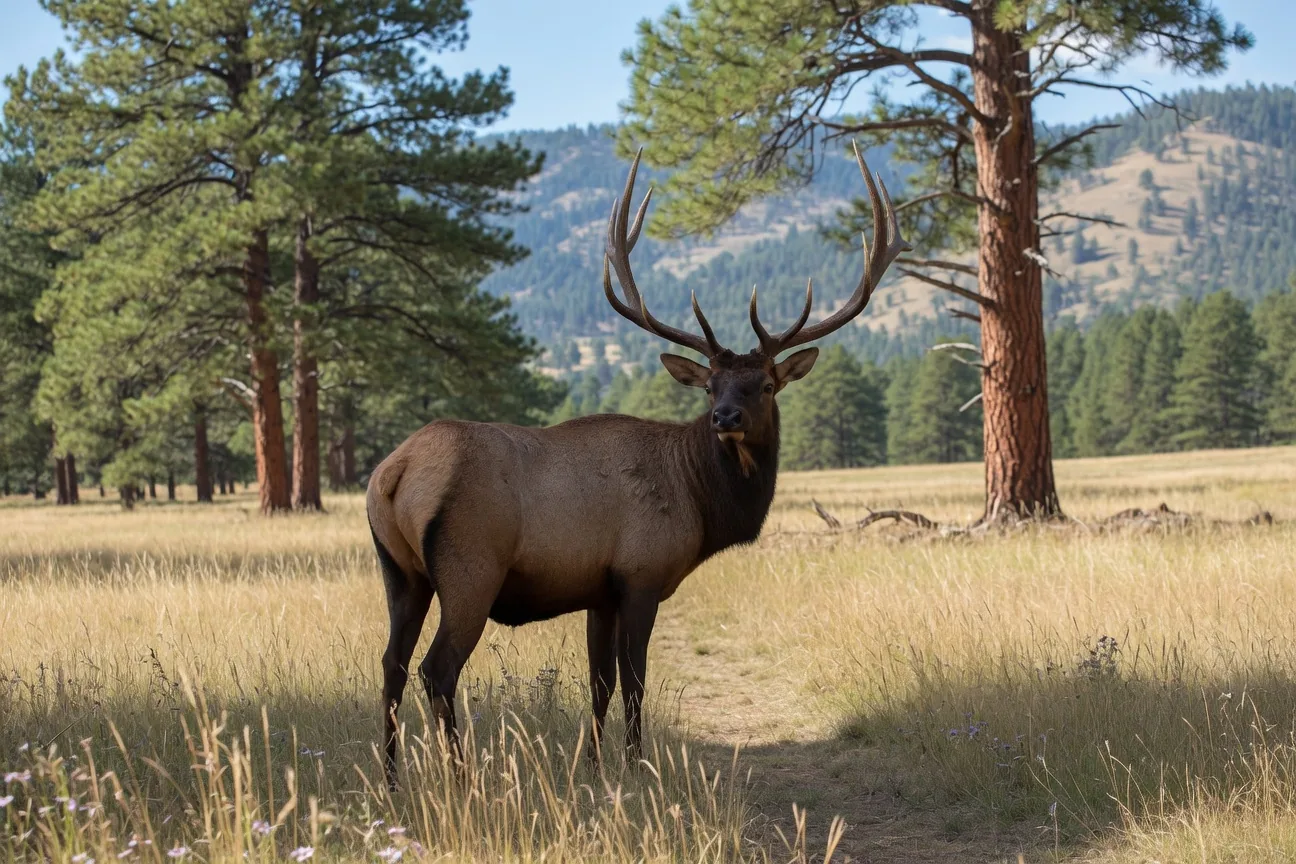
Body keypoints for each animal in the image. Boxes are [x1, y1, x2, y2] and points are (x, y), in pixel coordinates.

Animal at [366, 142, 908, 786]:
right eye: (711, 386)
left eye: (765, 385)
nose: (725, 417)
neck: (701, 504)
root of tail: (394, 474)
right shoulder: (642, 574)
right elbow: (635, 682)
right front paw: (636, 765)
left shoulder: (598, 591)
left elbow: (599, 683)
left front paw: (595, 766)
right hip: (470, 567)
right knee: (437, 669)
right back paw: (461, 779)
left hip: (401, 572)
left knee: (391, 664)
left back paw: (392, 781)